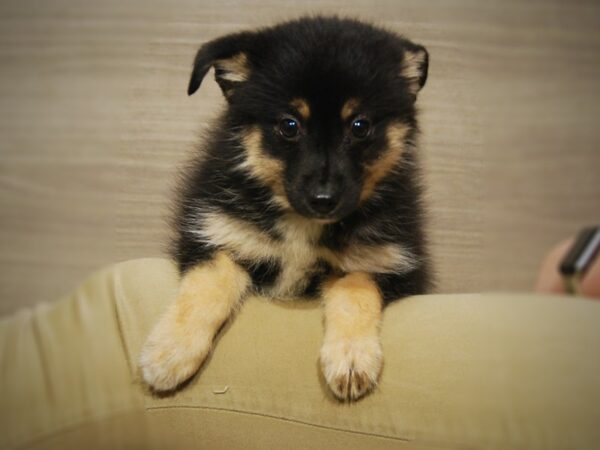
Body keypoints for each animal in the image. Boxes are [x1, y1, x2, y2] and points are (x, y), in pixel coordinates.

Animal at [139, 16, 432, 400]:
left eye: (361, 126)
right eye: (289, 125)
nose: (323, 199)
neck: (302, 226)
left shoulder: (390, 265)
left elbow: (355, 288)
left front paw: (352, 358)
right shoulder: (219, 236)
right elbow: (208, 286)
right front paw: (170, 351)